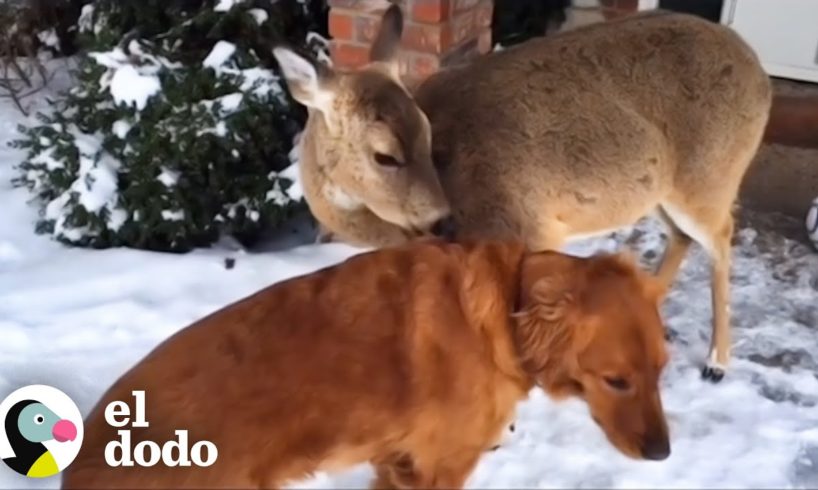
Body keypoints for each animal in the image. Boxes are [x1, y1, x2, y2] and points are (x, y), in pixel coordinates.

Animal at [60, 239, 668, 488]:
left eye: (663, 369)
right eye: (616, 381)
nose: (663, 454)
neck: (504, 306)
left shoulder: (393, 463)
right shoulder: (438, 468)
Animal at [272, 8, 772, 382]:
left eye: (428, 135)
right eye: (385, 155)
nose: (442, 219)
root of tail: (760, 73)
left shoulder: (529, 228)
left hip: (709, 177)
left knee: (722, 237)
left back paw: (716, 362)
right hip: (662, 193)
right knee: (685, 237)